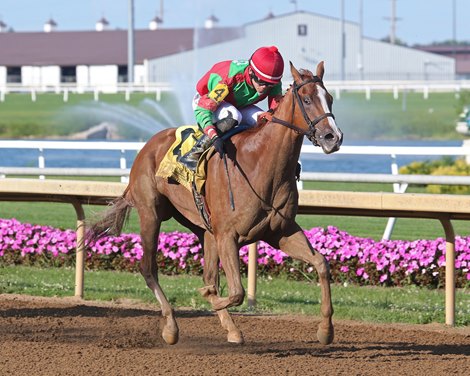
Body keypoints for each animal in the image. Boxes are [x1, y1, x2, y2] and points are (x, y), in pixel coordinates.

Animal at [87, 61, 342, 346]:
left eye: (330, 98)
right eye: (307, 99)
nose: (333, 137)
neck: (261, 164)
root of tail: (146, 147)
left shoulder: (280, 232)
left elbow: (321, 263)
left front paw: (325, 330)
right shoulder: (228, 235)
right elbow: (236, 292)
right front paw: (208, 298)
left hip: (203, 229)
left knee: (208, 273)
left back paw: (231, 329)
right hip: (151, 213)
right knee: (148, 268)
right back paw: (171, 326)